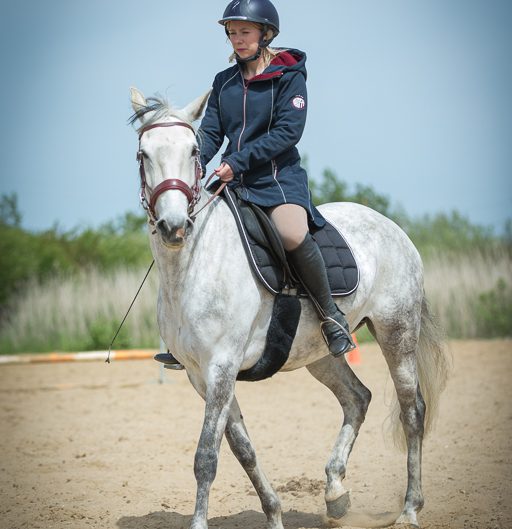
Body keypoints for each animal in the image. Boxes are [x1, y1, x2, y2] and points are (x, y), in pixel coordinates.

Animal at [130, 87, 450, 528]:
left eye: (193, 151)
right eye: (143, 154)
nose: (174, 227)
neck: (192, 265)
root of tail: (392, 227)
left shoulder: (221, 367)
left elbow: (206, 456)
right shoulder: (200, 375)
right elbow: (242, 450)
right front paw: (275, 514)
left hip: (396, 331)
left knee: (412, 410)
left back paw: (409, 509)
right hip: (320, 353)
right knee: (357, 398)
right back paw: (335, 492)